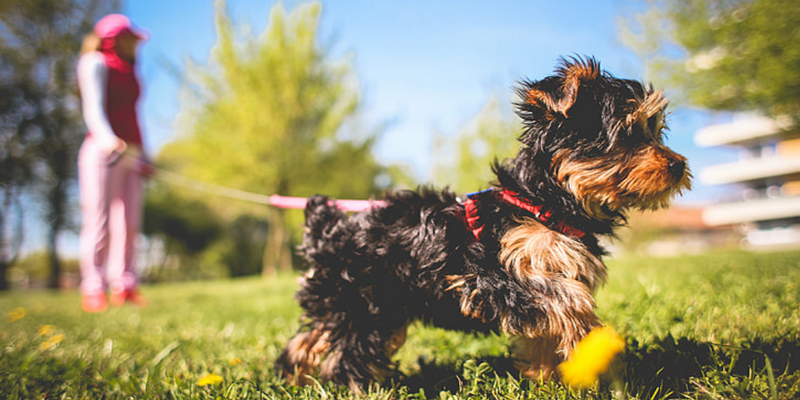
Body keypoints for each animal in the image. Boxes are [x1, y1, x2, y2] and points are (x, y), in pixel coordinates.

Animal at [276, 54, 688, 390]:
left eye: (657, 130)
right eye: (628, 134)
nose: (678, 164)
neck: (543, 202)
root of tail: (328, 230)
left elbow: (544, 329)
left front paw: (547, 378)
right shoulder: (495, 273)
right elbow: (567, 300)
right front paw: (590, 344)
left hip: (347, 301)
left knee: (314, 337)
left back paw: (295, 375)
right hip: (364, 303)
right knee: (350, 349)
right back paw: (354, 386)